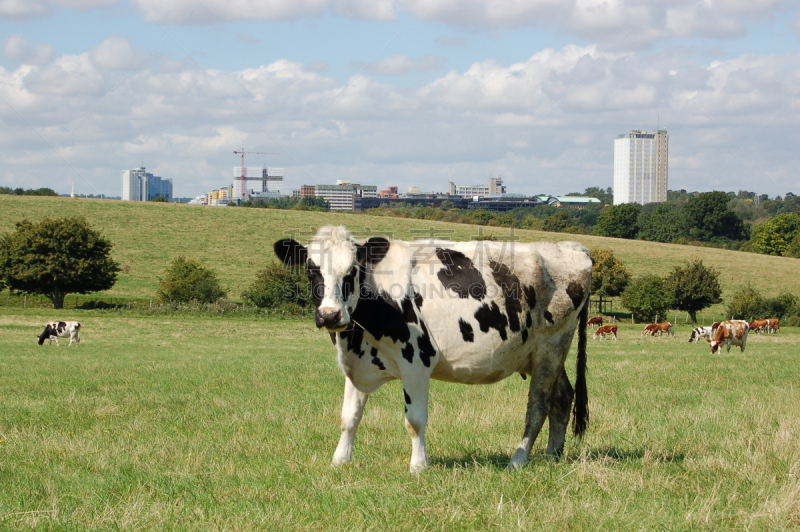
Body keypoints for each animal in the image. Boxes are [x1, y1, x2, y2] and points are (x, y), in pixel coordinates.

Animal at [276, 227, 592, 472]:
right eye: (311, 270)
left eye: (352, 270)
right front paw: (339, 461)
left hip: (551, 346)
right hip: (542, 354)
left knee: (538, 405)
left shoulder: (416, 360)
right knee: (562, 398)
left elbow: (414, 420)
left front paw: (418, 466)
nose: (330, 315)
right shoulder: (358, 363)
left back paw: (518, 459)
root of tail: (574, 247)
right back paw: (552, 456)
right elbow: (349, 417)